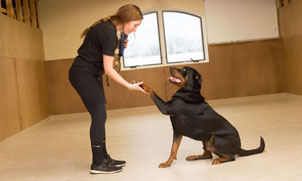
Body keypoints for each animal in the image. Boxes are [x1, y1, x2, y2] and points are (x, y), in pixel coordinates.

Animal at [138, 67, 266, 168]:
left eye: (184, 70)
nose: (170, 67)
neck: (188, 91)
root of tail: (239, 146)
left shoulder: (165, 108)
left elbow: (152, 91)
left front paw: (140, 84)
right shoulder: (177, 132)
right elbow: (173, 150)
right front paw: (167, 163)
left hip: (216, 138)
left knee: (231, 157)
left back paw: (218, 160)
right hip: (205, 136)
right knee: (208, 154)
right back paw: (194, 156)